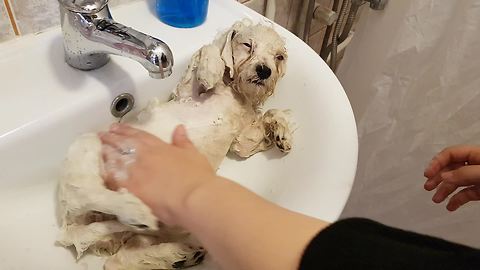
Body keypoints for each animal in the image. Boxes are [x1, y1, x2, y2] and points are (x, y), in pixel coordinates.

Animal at [56, 19, 292, 270]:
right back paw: (136, 211)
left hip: (158, 228)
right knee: (96, 196)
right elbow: (207, 50)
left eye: (279, 57)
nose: (264, 70)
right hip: (86, 153)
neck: (235, 93)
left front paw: (282, 134)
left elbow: (265, 121)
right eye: (247, 45)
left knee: (120, 260)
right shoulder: (187, 91)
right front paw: (212, 70)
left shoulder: (241, 140)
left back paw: (179, 254)